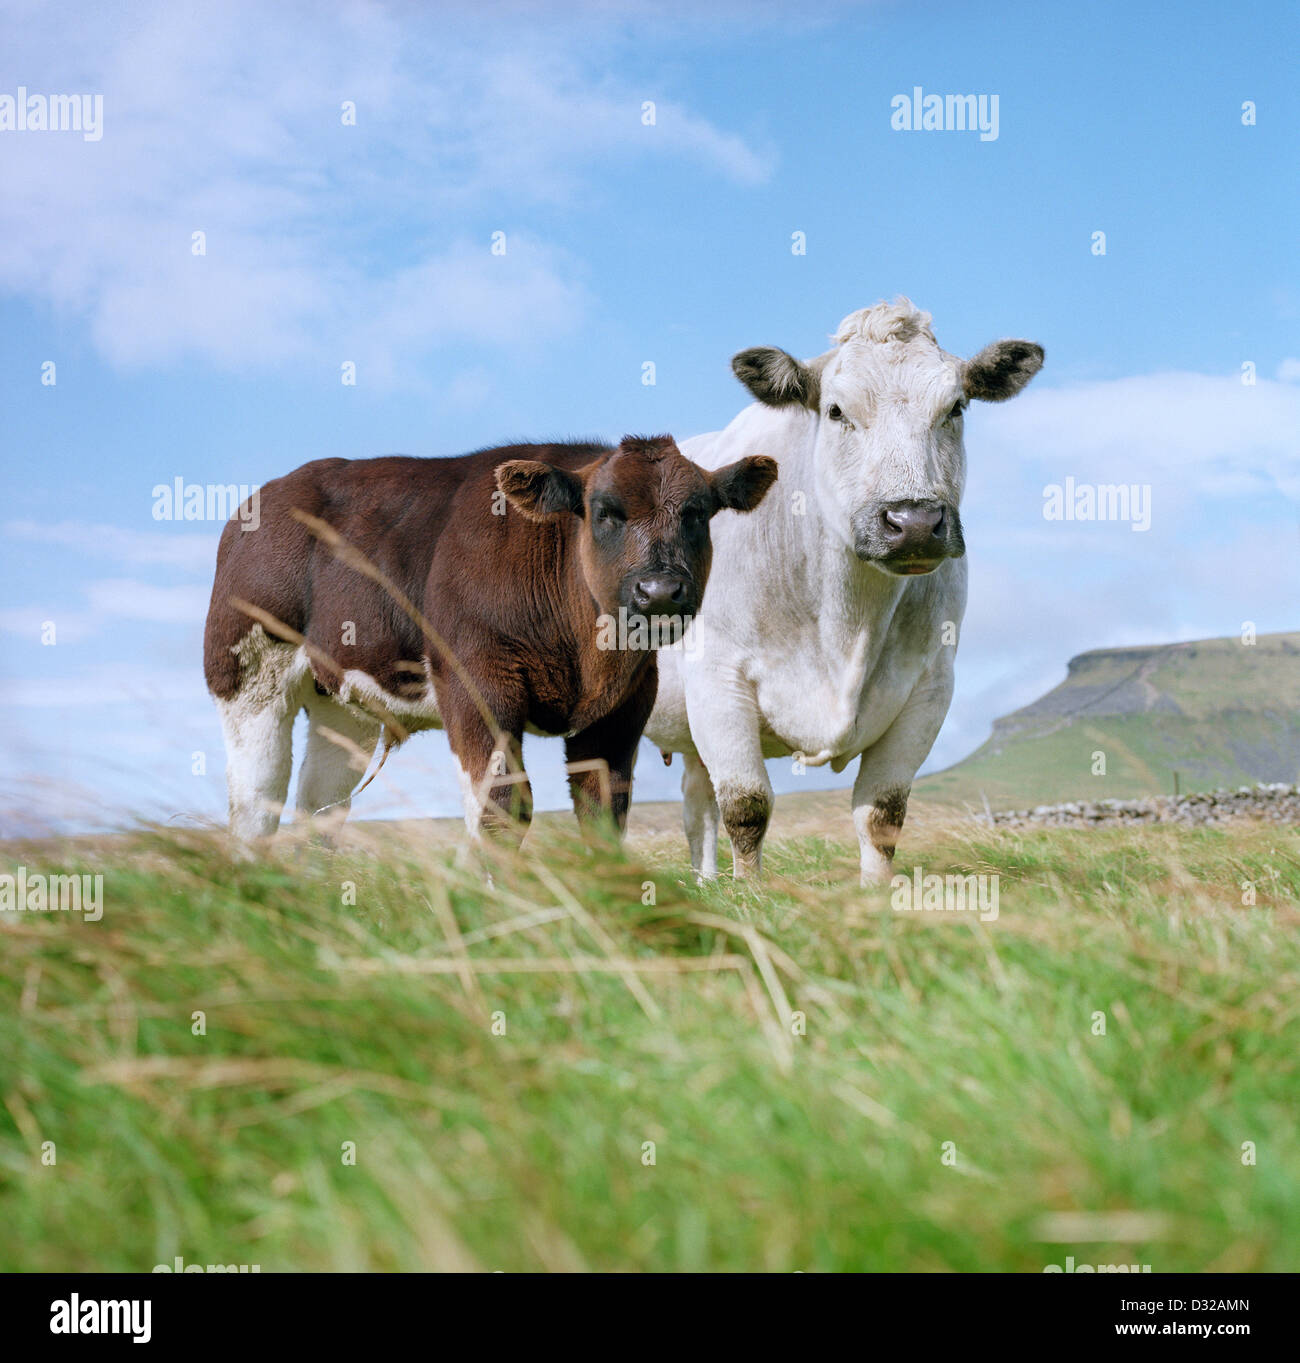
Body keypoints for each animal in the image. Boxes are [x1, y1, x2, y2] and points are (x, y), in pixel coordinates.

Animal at [203, 435, 776, 847]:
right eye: (604, 512)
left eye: (697, 513)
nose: (658, 590)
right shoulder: (476, 684)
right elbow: (503, 809)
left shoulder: (624, 706)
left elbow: (602, 814)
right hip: (247, 677)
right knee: (256, 802)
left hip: (342, 705)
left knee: (320, 805)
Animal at [643, 299, 1044, 885]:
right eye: (836, 411)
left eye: (956, 407)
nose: (914, 522)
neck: (845, 625)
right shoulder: (717, 677)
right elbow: (746, 805)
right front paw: (749, 897)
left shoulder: (930, 688)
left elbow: (882, 814)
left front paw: (875, 895)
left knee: (697, 807)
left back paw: (706, 883)